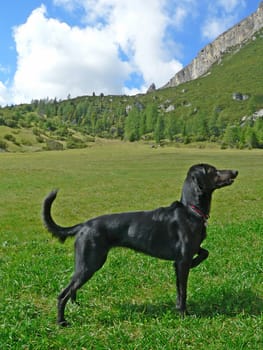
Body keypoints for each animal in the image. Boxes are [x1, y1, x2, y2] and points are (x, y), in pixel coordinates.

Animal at [42, 164, 239, 326]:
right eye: (212, 170)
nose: (235, 171)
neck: (190, 211)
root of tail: (83, 225)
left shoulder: (188, 253)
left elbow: (205, 252)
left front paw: (195, 265)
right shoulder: (182, 261)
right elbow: (183, 290)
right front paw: (184, 313)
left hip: (85, 264)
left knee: (72, 288)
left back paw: (76, 305)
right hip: (90, 263)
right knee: (63, 294)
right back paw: (62, 322)